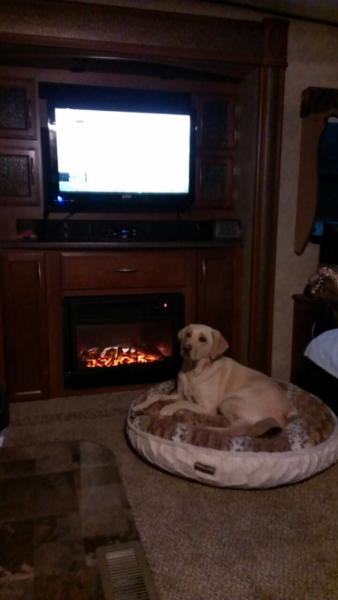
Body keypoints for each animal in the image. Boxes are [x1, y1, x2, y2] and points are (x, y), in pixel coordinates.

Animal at [135, 324, 296, 436]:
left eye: (203, 339)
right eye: (188, 334)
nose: (186, 348)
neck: (194, 371)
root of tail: (286, 414)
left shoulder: (207, 406)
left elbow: (182, 402)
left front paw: (167, 408)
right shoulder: (179, 394)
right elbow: (157, 396)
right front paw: (141, 405)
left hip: (229, 401)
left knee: (232, 426)